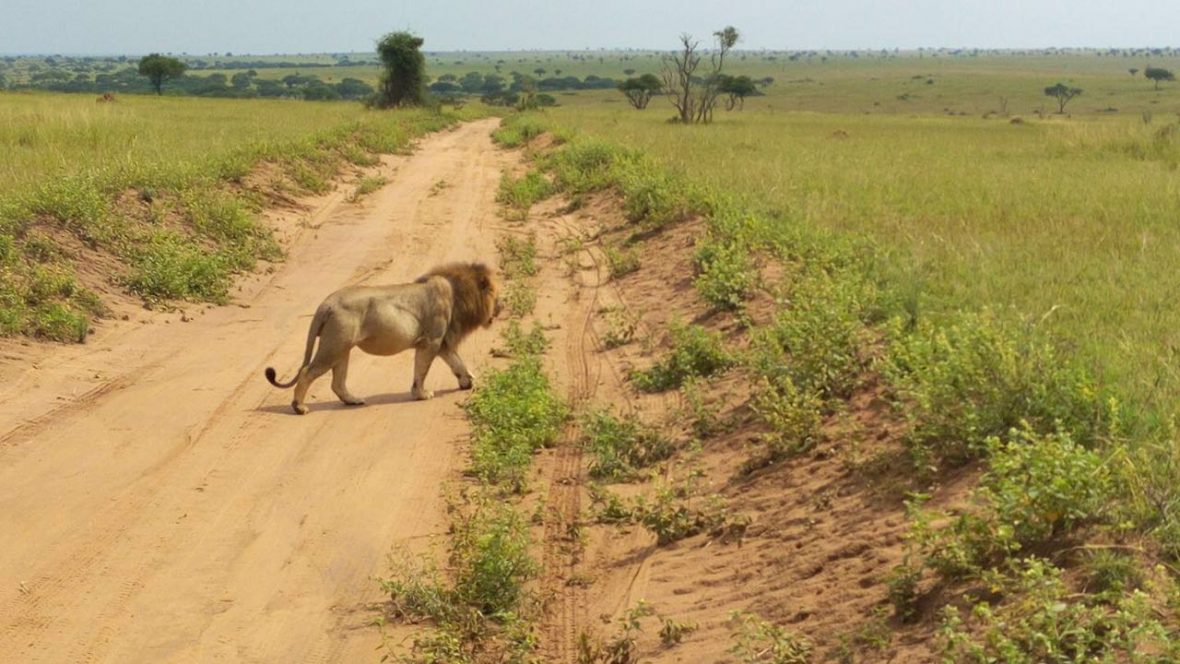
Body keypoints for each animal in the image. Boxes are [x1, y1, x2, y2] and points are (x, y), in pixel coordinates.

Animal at [265, 262, 500, 414]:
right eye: (496, 296)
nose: (502, 307)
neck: (457, 293)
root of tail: (327, 303)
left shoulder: (441, 343)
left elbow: (456, 362)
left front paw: (467, 381)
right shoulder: (431, 341)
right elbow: (421, 371)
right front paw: (421, 394)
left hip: (342, 347)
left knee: (337, 383)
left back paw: (353, 401)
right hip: (334, 345)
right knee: (307, 372)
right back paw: (299, 407)